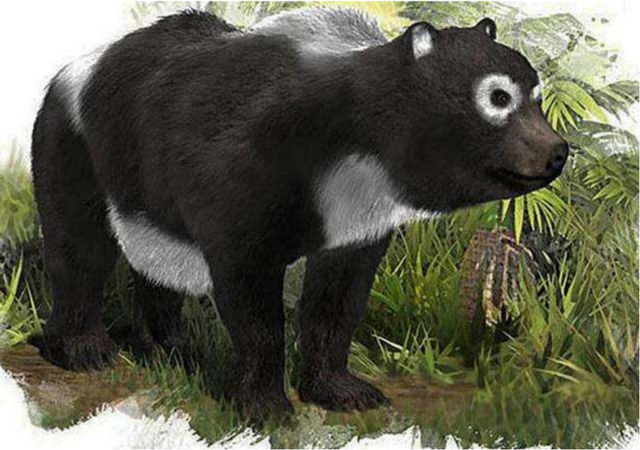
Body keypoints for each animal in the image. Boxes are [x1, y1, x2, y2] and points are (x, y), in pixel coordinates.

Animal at [30, 8, 568, 418]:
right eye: (497, 97)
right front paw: (262, 404)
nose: (557, 152)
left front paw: (342, 390)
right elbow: (250, 292)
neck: (351, 136)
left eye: (537, 97)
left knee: (158, 262)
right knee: (79, 247)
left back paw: (171, 346)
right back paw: (83, 348)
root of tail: (78, 67)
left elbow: (338, 298)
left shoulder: (355, 210)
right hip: (76, 142)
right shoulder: (244, 171)